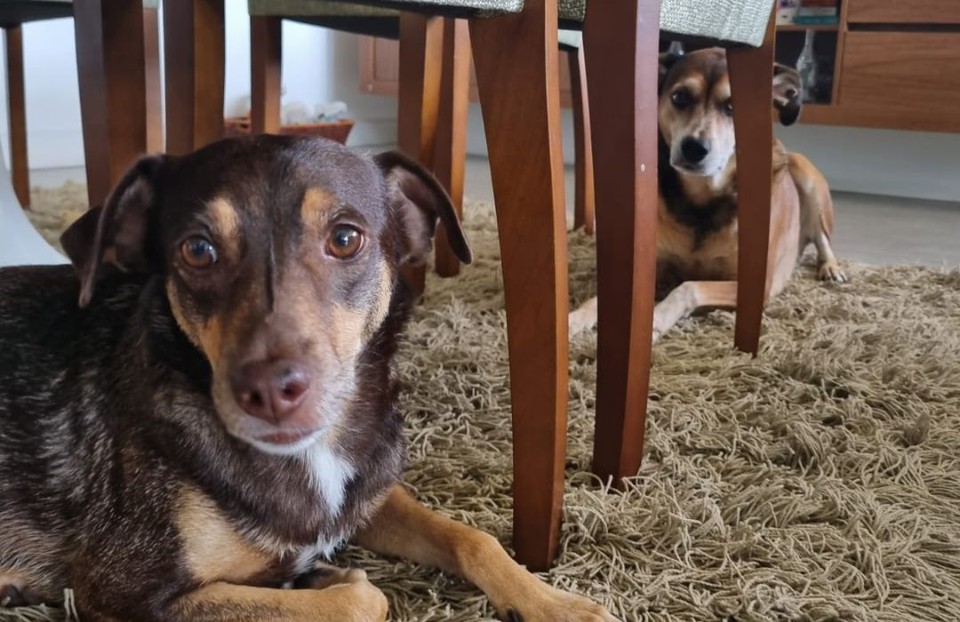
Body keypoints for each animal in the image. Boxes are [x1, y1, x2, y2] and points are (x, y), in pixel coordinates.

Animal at [0, 138, 616, 622]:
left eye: (345, 238)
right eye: (197, 250)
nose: (270, 393)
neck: (310, 454)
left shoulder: (365, 493)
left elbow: (472, 536)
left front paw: (556, 604)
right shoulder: (126, 591)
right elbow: (363, 600)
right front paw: (326, 578)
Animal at [568, 48, 848, 342]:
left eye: (733, 107)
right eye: (679, 97)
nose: (693, 147)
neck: (701, 199)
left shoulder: (750, 286)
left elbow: (688, 287)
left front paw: (655, 319)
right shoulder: (652, 268)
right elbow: (603, 299)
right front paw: (575, 318)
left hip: (806, 175)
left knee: (823, 238)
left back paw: (831, 268)